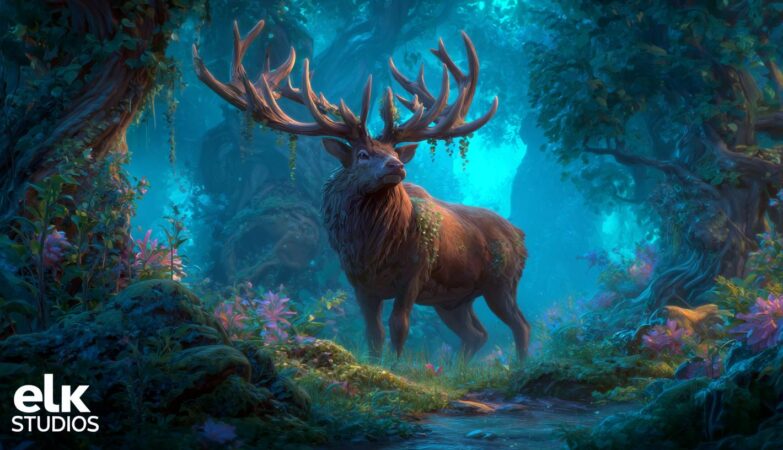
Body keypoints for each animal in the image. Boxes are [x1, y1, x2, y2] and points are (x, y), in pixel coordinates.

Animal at [193, 20, 530, 360]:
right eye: (363, 154)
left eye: (394, 150)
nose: (397, 165)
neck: (374, 249)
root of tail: (520, 235)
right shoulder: (359, 283)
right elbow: (374, 332)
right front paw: (378, 361)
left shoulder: (414, 273)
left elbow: (399, 326)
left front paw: (395, 366)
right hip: (452, 300)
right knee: (477, 334)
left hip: (502, 282)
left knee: (520, 325)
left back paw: (521, 364)